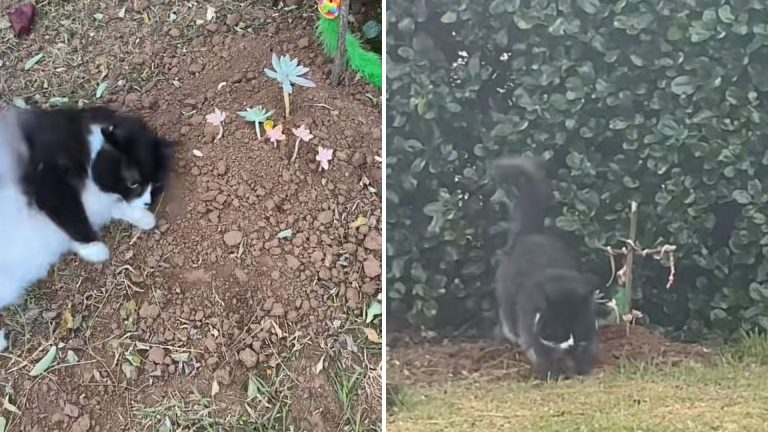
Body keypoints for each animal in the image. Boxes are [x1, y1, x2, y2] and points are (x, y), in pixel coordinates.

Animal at [0, 105, 174, 352]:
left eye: (156, 184)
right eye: (134, 183)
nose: (148, 202)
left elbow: (110, 208)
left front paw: (142, 217)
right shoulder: (48, 176)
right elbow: (71, 212)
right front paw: (95, 247)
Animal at [492, 157, 600, 380]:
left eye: (576, 329)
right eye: (558, 331)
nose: (569, 345)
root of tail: (530, 232)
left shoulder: (587, 335)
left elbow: (585, 352)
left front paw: (581, 371)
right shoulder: (533, 332)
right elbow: (540, 354)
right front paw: (550, 374)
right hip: (508, 302)